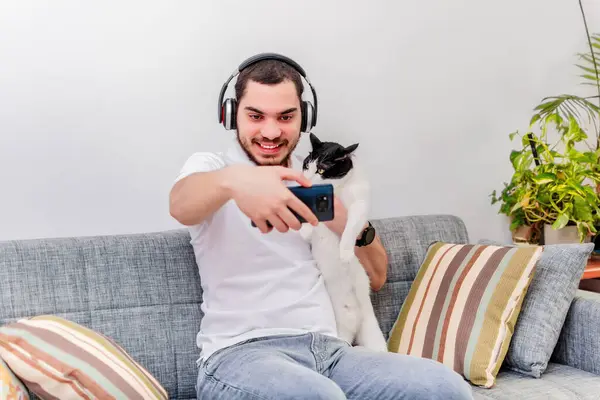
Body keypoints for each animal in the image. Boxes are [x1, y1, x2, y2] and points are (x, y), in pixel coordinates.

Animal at [298, 133, 386, 352]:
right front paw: (305, 230)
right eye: (306, 166)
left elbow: (351, 226)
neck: (336, 191)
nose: (307, 181)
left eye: (321, 170)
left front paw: (345, 253)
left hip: (372, 334)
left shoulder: (359, 205)